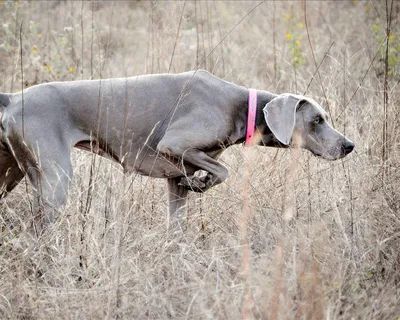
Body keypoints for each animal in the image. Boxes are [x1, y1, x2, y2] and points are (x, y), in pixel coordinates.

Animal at [0, 70, 354, 231]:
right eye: (318, 120)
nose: (349, 145)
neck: (242, 107)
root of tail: (13, 98)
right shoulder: (175, 144)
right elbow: (223, 170)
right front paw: (202, 183)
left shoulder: (174, 177)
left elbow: (178, 218)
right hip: (55, 177)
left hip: (10, 171)